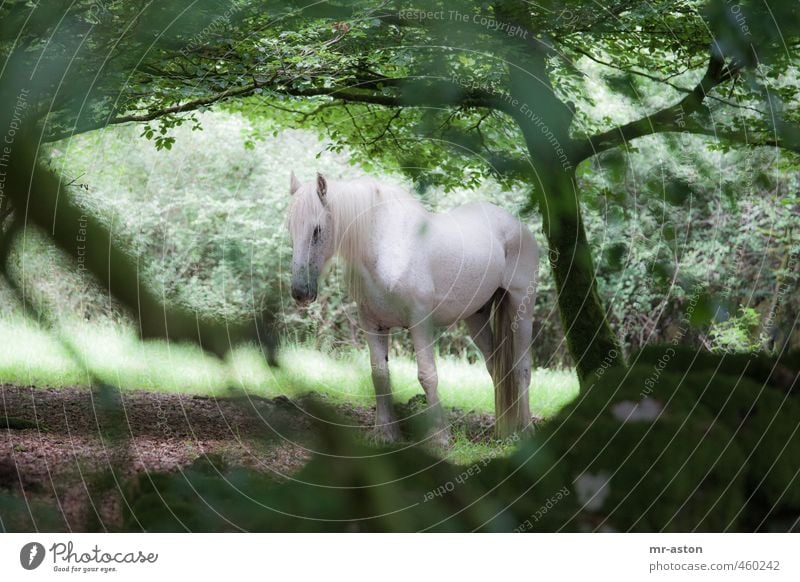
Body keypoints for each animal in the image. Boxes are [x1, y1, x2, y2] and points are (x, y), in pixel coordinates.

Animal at [288, 173, 536, 448]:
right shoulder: (372, 323)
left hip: (521, 305)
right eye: (290, 228)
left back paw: (526, 430)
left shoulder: (420, 321)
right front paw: (385, 433)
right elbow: (380, 375)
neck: (384, 245)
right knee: (496, 368)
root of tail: (517, 225)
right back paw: (502, 433)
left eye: (317, 230)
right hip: (476, 316)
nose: (300, 292)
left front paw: (440, 437)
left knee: (522, 368)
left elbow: (427, 375)